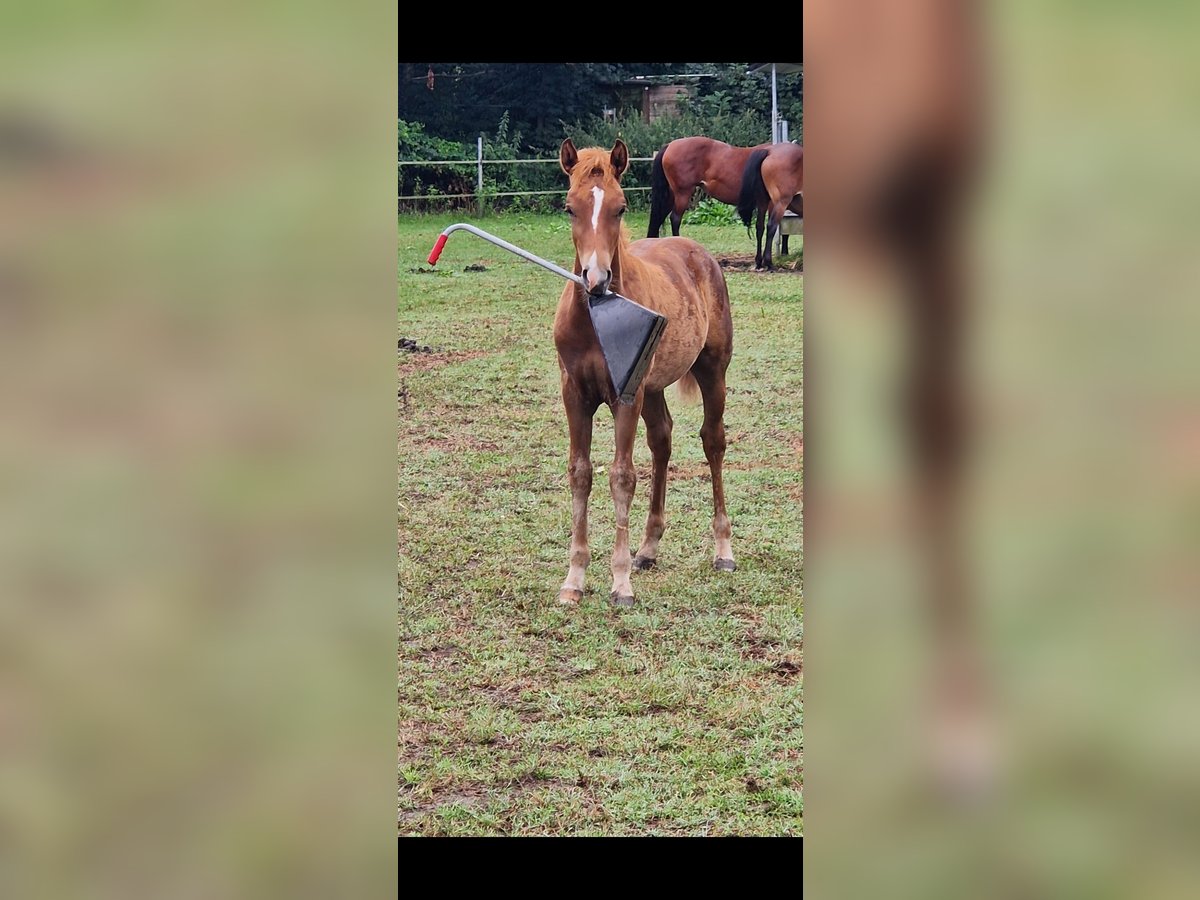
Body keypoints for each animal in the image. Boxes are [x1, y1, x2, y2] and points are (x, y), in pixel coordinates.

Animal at [554, 137, 739, 609]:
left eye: (620, 208)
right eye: (569, 207)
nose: (595, 278)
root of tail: (697, 251)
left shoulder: (625, 396)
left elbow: (622, 476)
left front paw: (620, 584)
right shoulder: (574, 394)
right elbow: (580, 473)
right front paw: (574, 580)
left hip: (712, 371)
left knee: (713, 442)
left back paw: (723, 550)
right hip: (653, 389)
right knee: (662, 441)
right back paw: (649, 548)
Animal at [734, 142, 801, 270]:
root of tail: (769, 151)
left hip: (763, 201)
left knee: (759, 226)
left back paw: (759, 261)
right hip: (780, 203)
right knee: (771, 226)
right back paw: (769, 262)